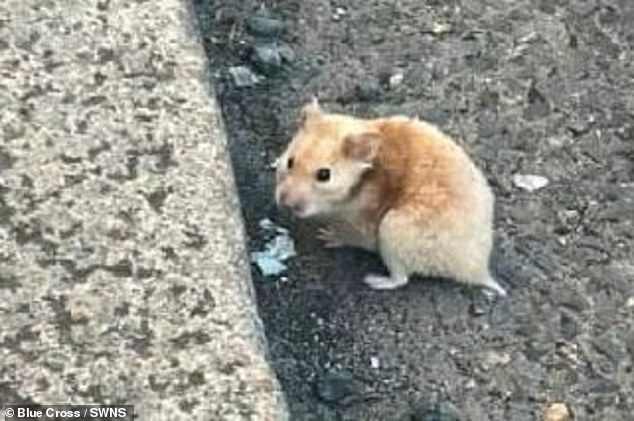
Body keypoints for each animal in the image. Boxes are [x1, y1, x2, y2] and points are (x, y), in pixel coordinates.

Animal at [274, 98, 506, 296]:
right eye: (290, 161)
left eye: (324, 175)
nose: (284, 203)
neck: (359, 182)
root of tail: (478, 271)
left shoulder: (362, 225)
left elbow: (350, 237)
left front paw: (327, 235)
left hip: (391, 230)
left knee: (401, 279)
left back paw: (374, 280)